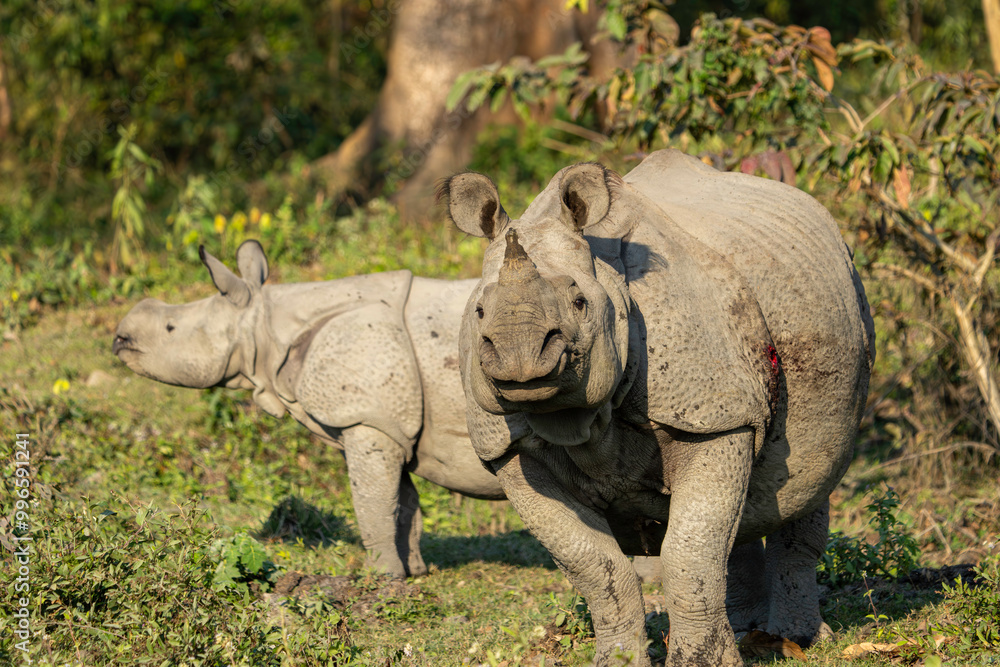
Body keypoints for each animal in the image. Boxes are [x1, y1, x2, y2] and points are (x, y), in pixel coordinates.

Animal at [113, 240, 504, 578]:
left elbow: (373, 504)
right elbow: (402, 504)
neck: (267, 326)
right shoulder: (382, 423)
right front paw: (414, 572)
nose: (118, 339)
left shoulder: (364, 419)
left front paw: (382, 579)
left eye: (170, 328)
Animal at [441, 149, 875, 666]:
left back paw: (801, 640)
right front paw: (619, 660)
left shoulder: (713, 417)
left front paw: (704, 664)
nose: (521, 357)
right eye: (479, 312)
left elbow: (689, 554)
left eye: (579, 302)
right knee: (747, 511)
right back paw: (751, 633)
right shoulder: (509, 447)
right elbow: (596, 568)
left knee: (806, 486)